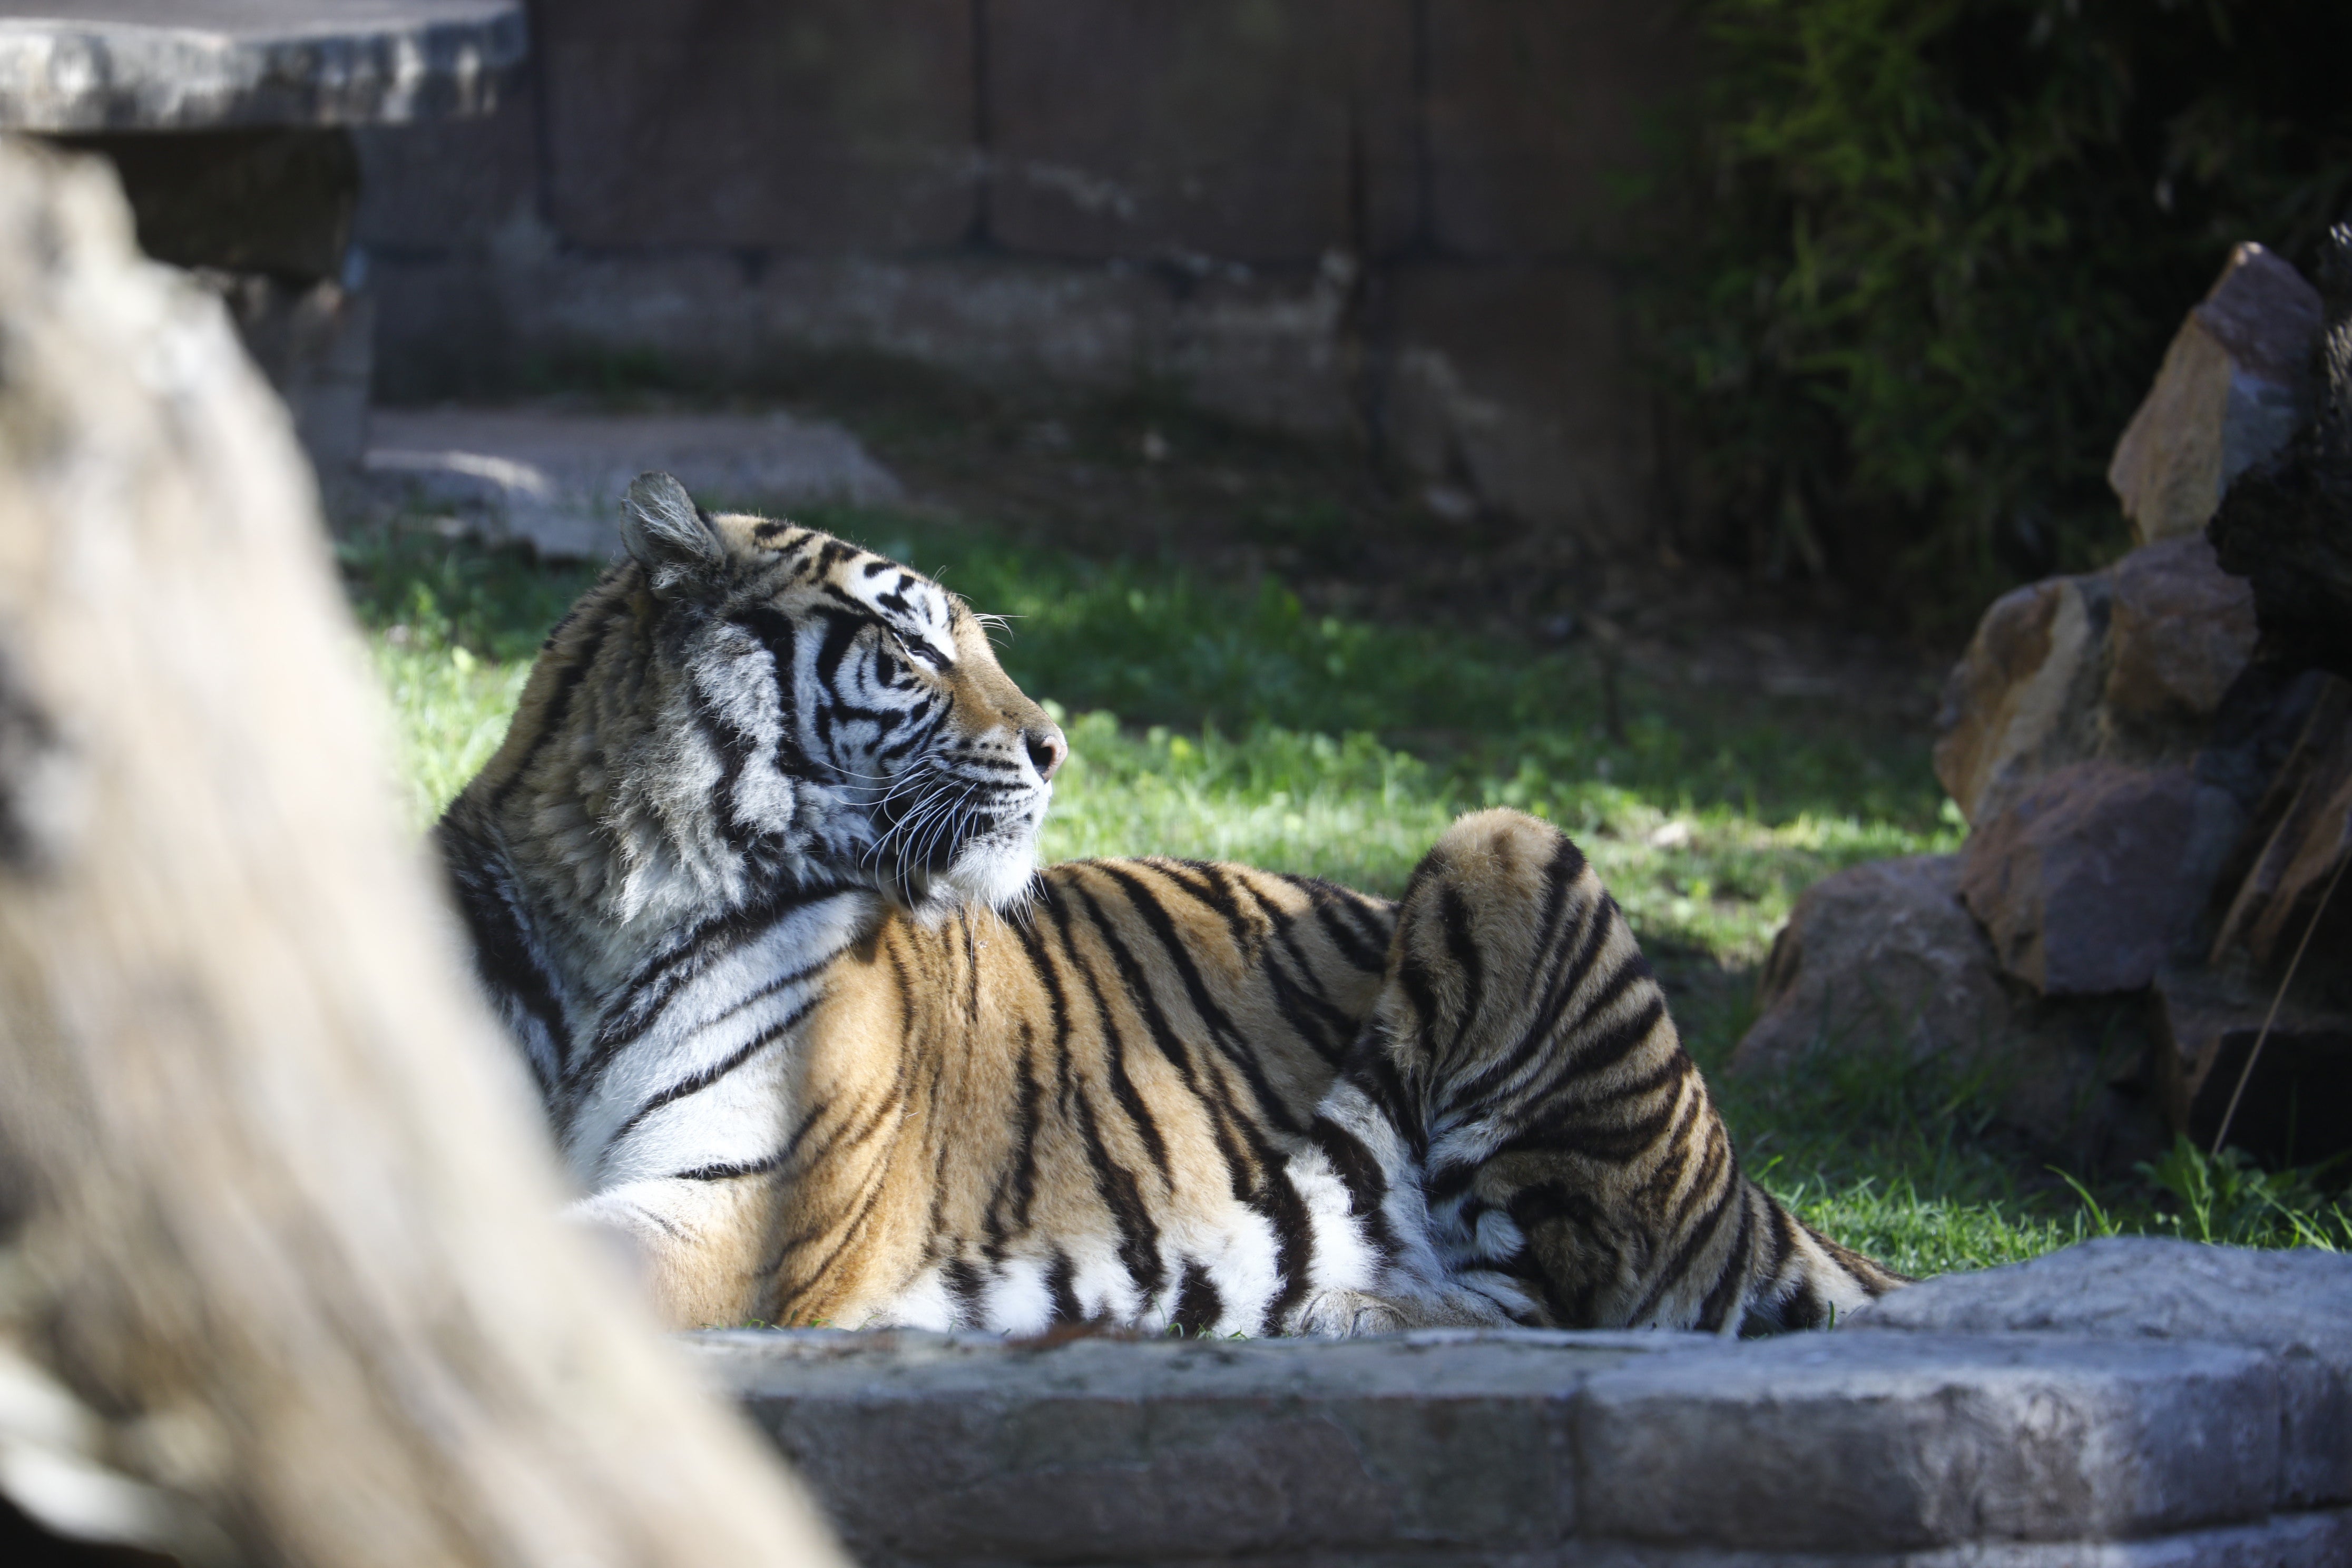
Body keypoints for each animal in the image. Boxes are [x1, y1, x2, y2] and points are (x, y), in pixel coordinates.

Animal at [435, 470, 1905, 1336]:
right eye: (911, 647)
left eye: (976, 643)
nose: (1054, 745)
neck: (613, 897)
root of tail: (1739, 1180)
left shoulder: (738, 1202)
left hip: (1506, 842)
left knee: (1559, 1300)